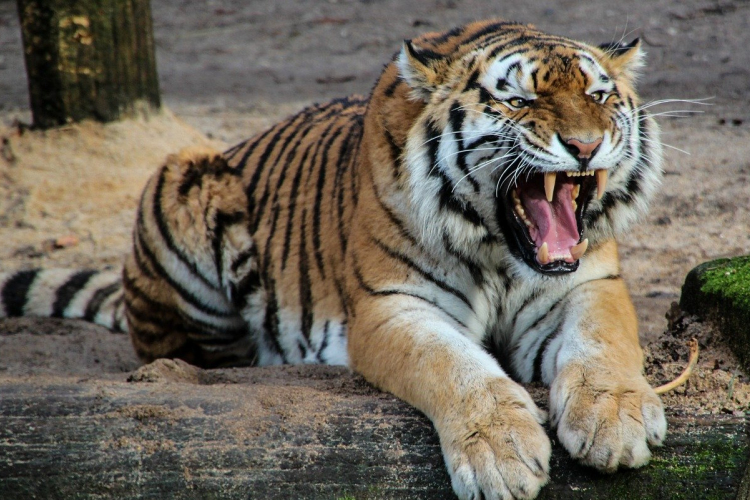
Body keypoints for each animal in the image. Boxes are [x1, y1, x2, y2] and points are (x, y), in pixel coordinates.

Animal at [2, 20, 668, 500]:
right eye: (520, 100)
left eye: (599, 95)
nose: (585, 145)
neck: (501, 251)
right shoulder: (392, 307)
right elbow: (456, 367)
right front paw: (500, 454)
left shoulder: (588, 283)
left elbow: (603, 343)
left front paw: (614, 421)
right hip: (183, 178)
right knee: (187, 351)